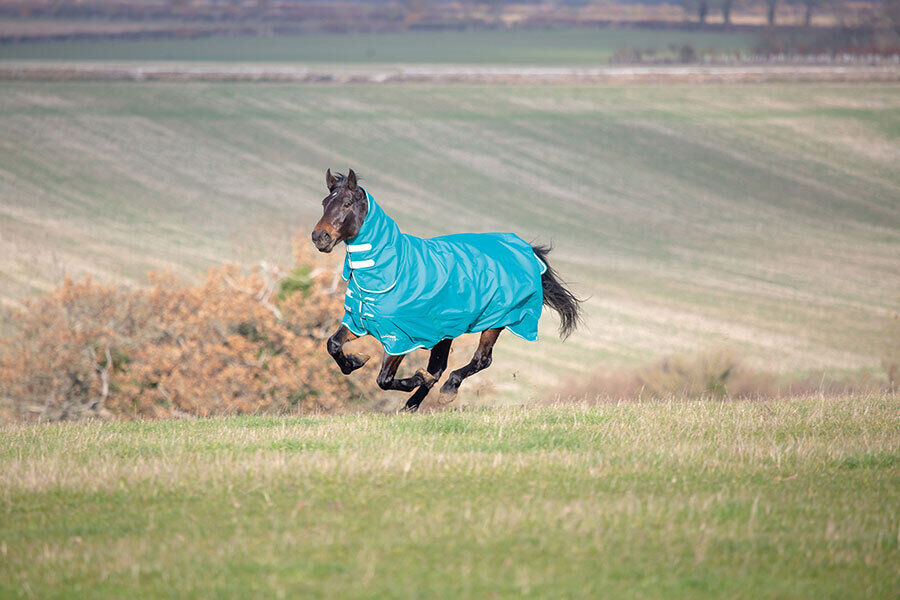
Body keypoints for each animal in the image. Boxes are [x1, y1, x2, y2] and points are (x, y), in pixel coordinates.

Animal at [312, 168, 582, 411]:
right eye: (324, 203)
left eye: (347, 203)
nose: (319, 237)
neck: (391, 269)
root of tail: (524, 248)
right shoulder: (360, 321)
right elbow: (333, 344)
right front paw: (355, 361)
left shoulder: (401, 336)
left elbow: (384, 380)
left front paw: (417, 377)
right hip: (445, 331)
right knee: (440, 368)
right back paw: (411, 405)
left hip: (496, 321)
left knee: (480, 360)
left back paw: (447, 390)